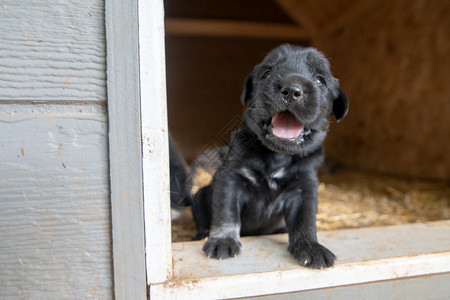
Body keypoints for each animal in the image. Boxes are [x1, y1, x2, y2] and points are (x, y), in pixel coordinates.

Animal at [192, 45, 350, 270]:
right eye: (267, 73)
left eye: (320, 80)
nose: (291, 90)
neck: (278, 155)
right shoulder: (231, 179)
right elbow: (226, 212)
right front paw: (223, 240)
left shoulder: (304, 188)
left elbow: (305, 220)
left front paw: (311, 247)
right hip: (199, 197)